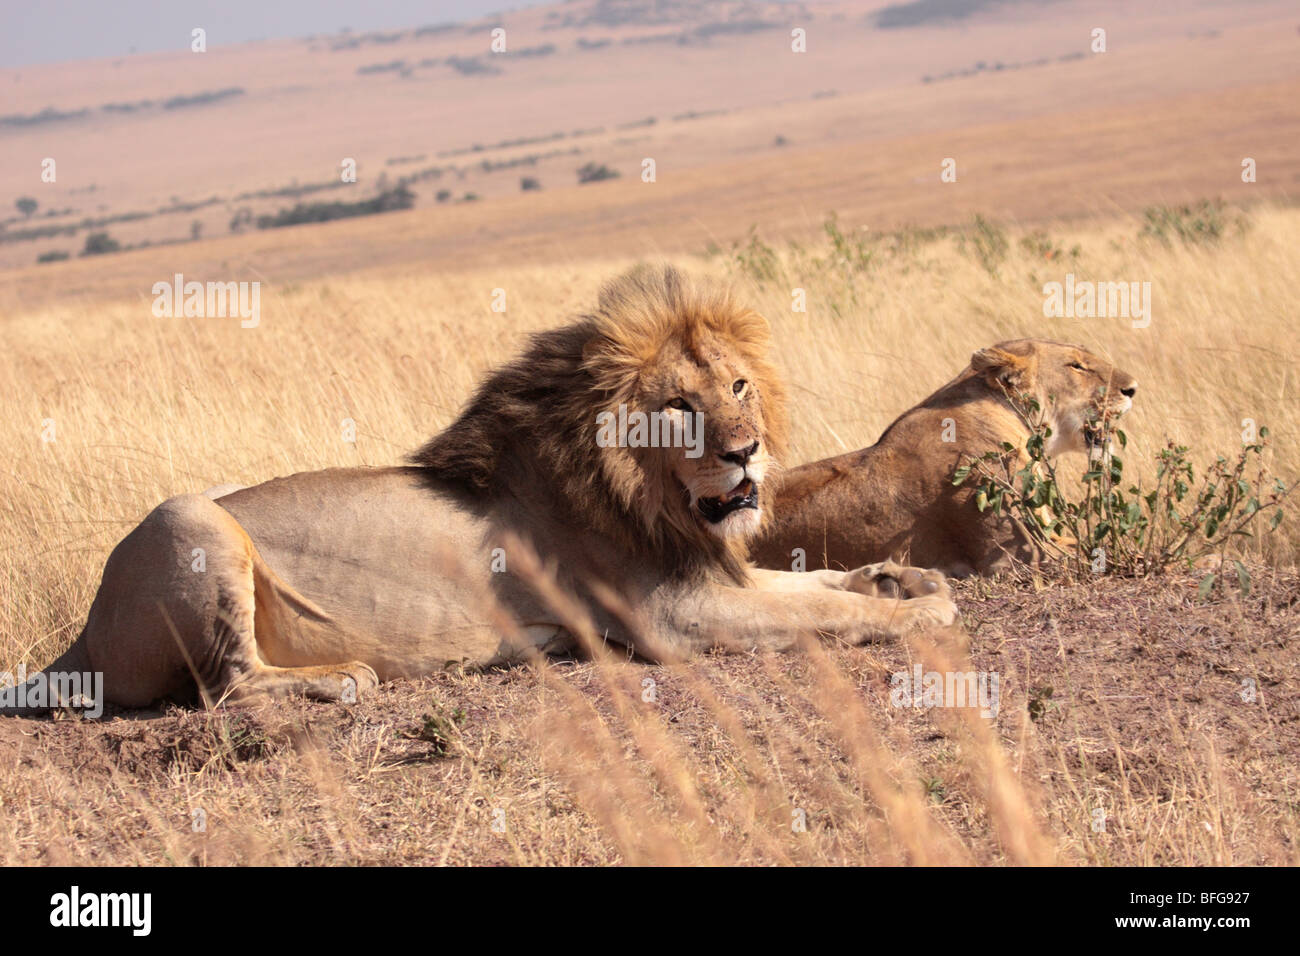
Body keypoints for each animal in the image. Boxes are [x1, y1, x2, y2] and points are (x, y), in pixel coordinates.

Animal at [10, 266, 957, 715]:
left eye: (737, 387)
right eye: (680, 408)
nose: (747, 454)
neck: (648, 496)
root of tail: (82, 635)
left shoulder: (708, 571)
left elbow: (815, 582)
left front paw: (903, 578)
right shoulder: (671, 619)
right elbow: (823, 611)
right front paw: (916, 610)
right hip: (190, 520)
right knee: (229, 686)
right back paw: (342, 681)